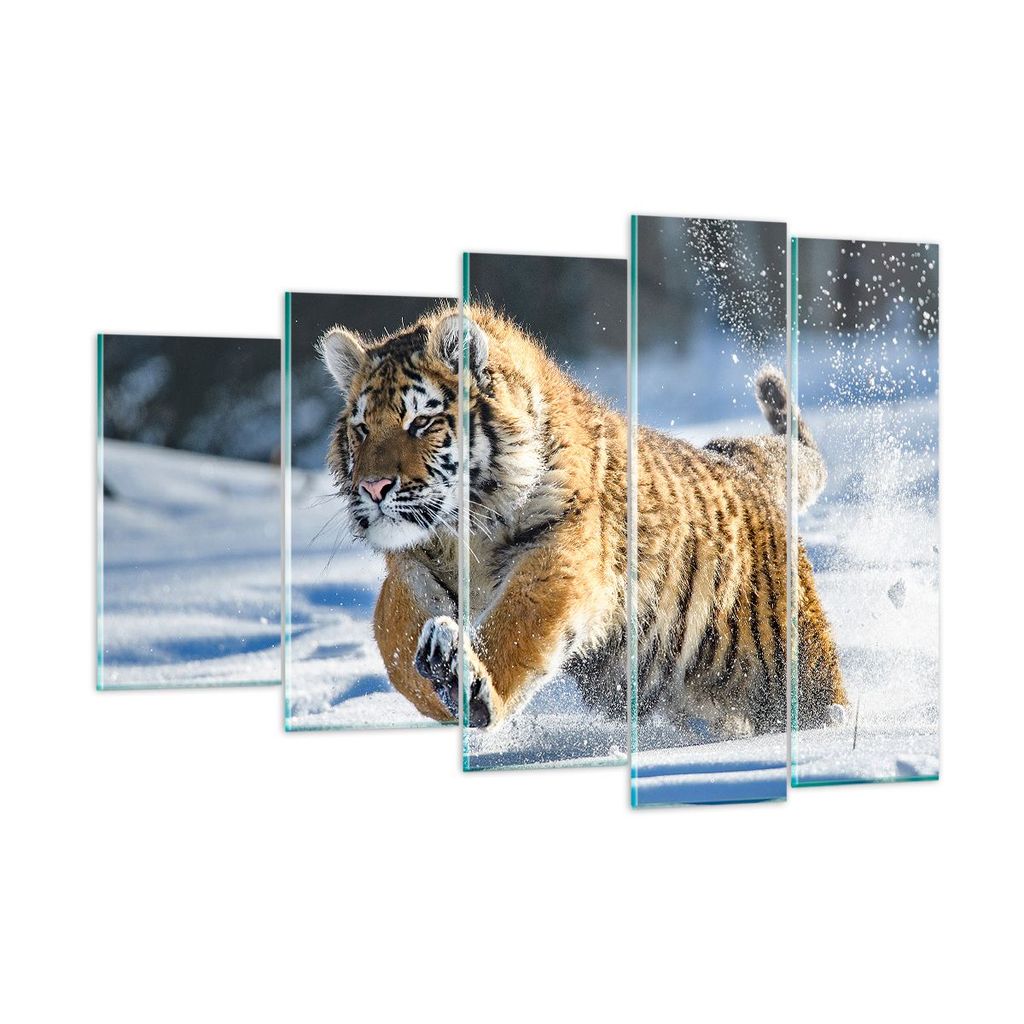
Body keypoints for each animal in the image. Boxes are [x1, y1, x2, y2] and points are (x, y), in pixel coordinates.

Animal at [319, 303, 846, 735]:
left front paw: (467, 682)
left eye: (421, 422)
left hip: (797, 665)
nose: (373, 488)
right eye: (361, 429)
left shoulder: (560, 552)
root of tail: (744, 465)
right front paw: (438, 677)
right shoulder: (408, 568)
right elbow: (396, 642)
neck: (461, 533)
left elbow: (517, 624)